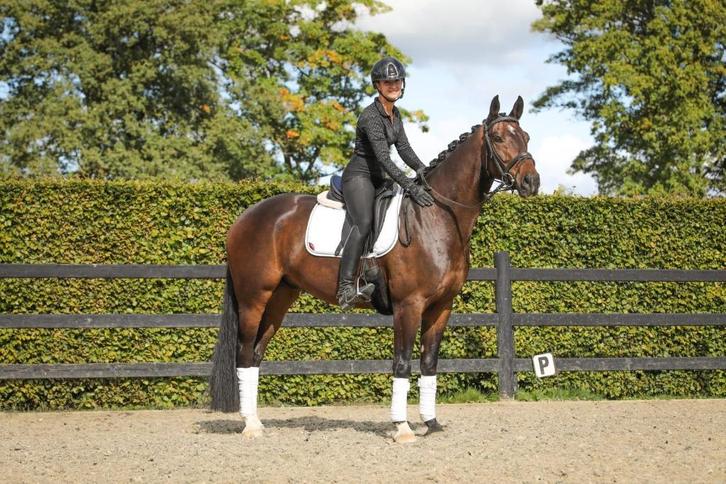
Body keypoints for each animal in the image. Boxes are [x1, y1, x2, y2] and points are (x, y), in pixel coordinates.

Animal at [209, 95, 540, 443]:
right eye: (499, 138)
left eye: (526, 137)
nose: (531, 181)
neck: (435, 217)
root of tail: (244, 218)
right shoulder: (409, 305)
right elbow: (402, 364)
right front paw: (402, 428)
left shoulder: (441, 307)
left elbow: (429, 363)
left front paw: (431, 422)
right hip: (253, 298)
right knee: (244, 353)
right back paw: (249, 425)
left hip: (281, 297)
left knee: (257, 353)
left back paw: (257, 422)